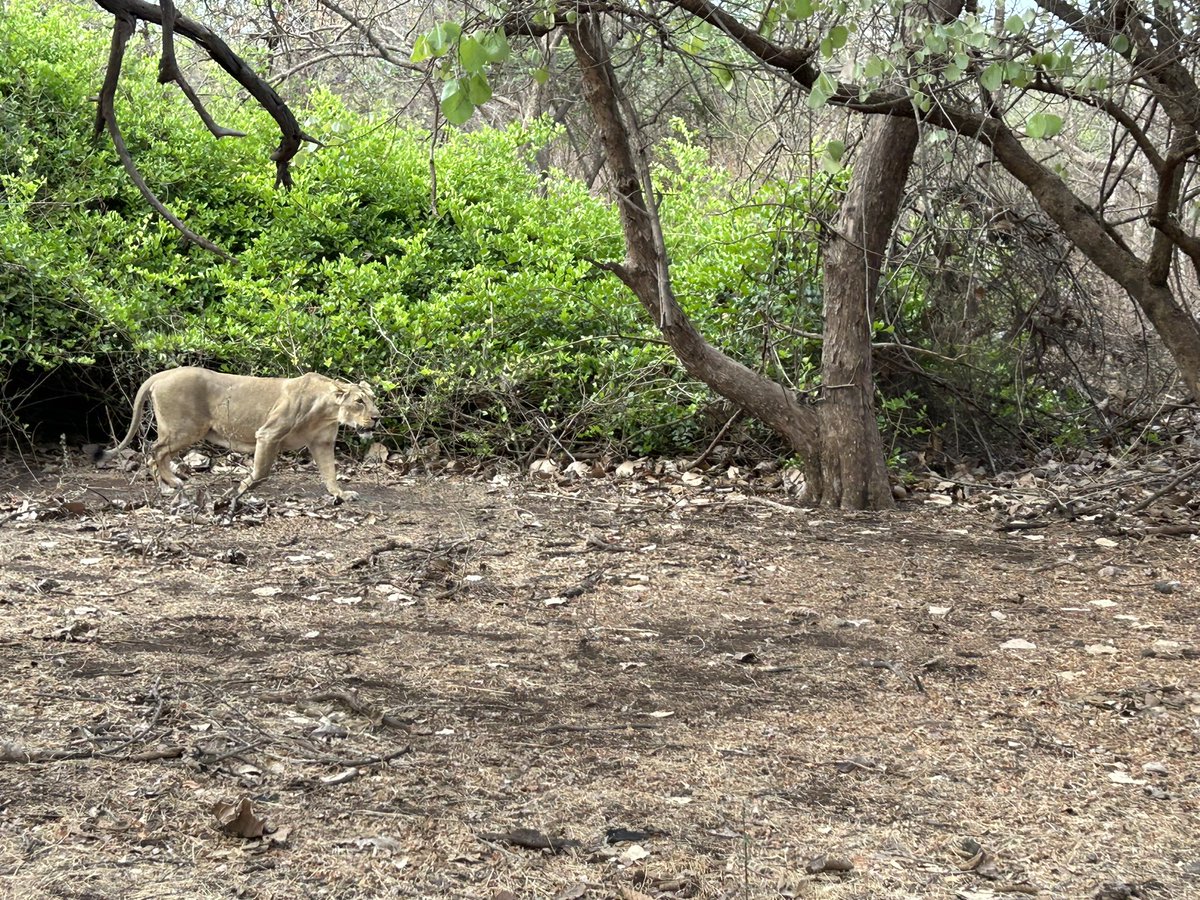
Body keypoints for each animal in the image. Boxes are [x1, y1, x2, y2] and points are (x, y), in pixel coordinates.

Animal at [92, 367, 380, 505]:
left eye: (373, 399)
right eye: (359, 401)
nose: (377, 417)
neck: (328, 411)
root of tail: (161, 374)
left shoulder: (322, 442)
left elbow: (330, 473)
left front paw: (341, 495)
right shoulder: (268, 434)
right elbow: (260, 473)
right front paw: (236, 493)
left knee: (159, 452)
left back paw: (174, 483)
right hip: (185, 429)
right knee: (154, 451)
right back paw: (168, 485)